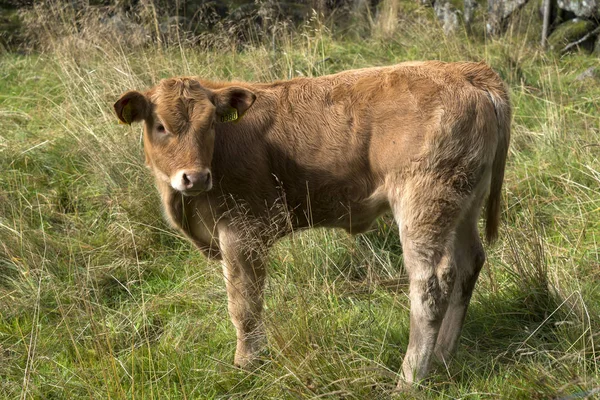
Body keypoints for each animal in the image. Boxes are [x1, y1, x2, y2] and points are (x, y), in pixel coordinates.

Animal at [116, 61, 510, 386]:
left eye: (211, 123)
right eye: (160, 126)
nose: (195, 177)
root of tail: (465, 70)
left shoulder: (244, 231)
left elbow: (244, 304)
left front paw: (247, 365)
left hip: (424, 202)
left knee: (431, 285)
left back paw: (409, 380)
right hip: (462, 204)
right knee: (468, 264)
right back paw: (442, 358)